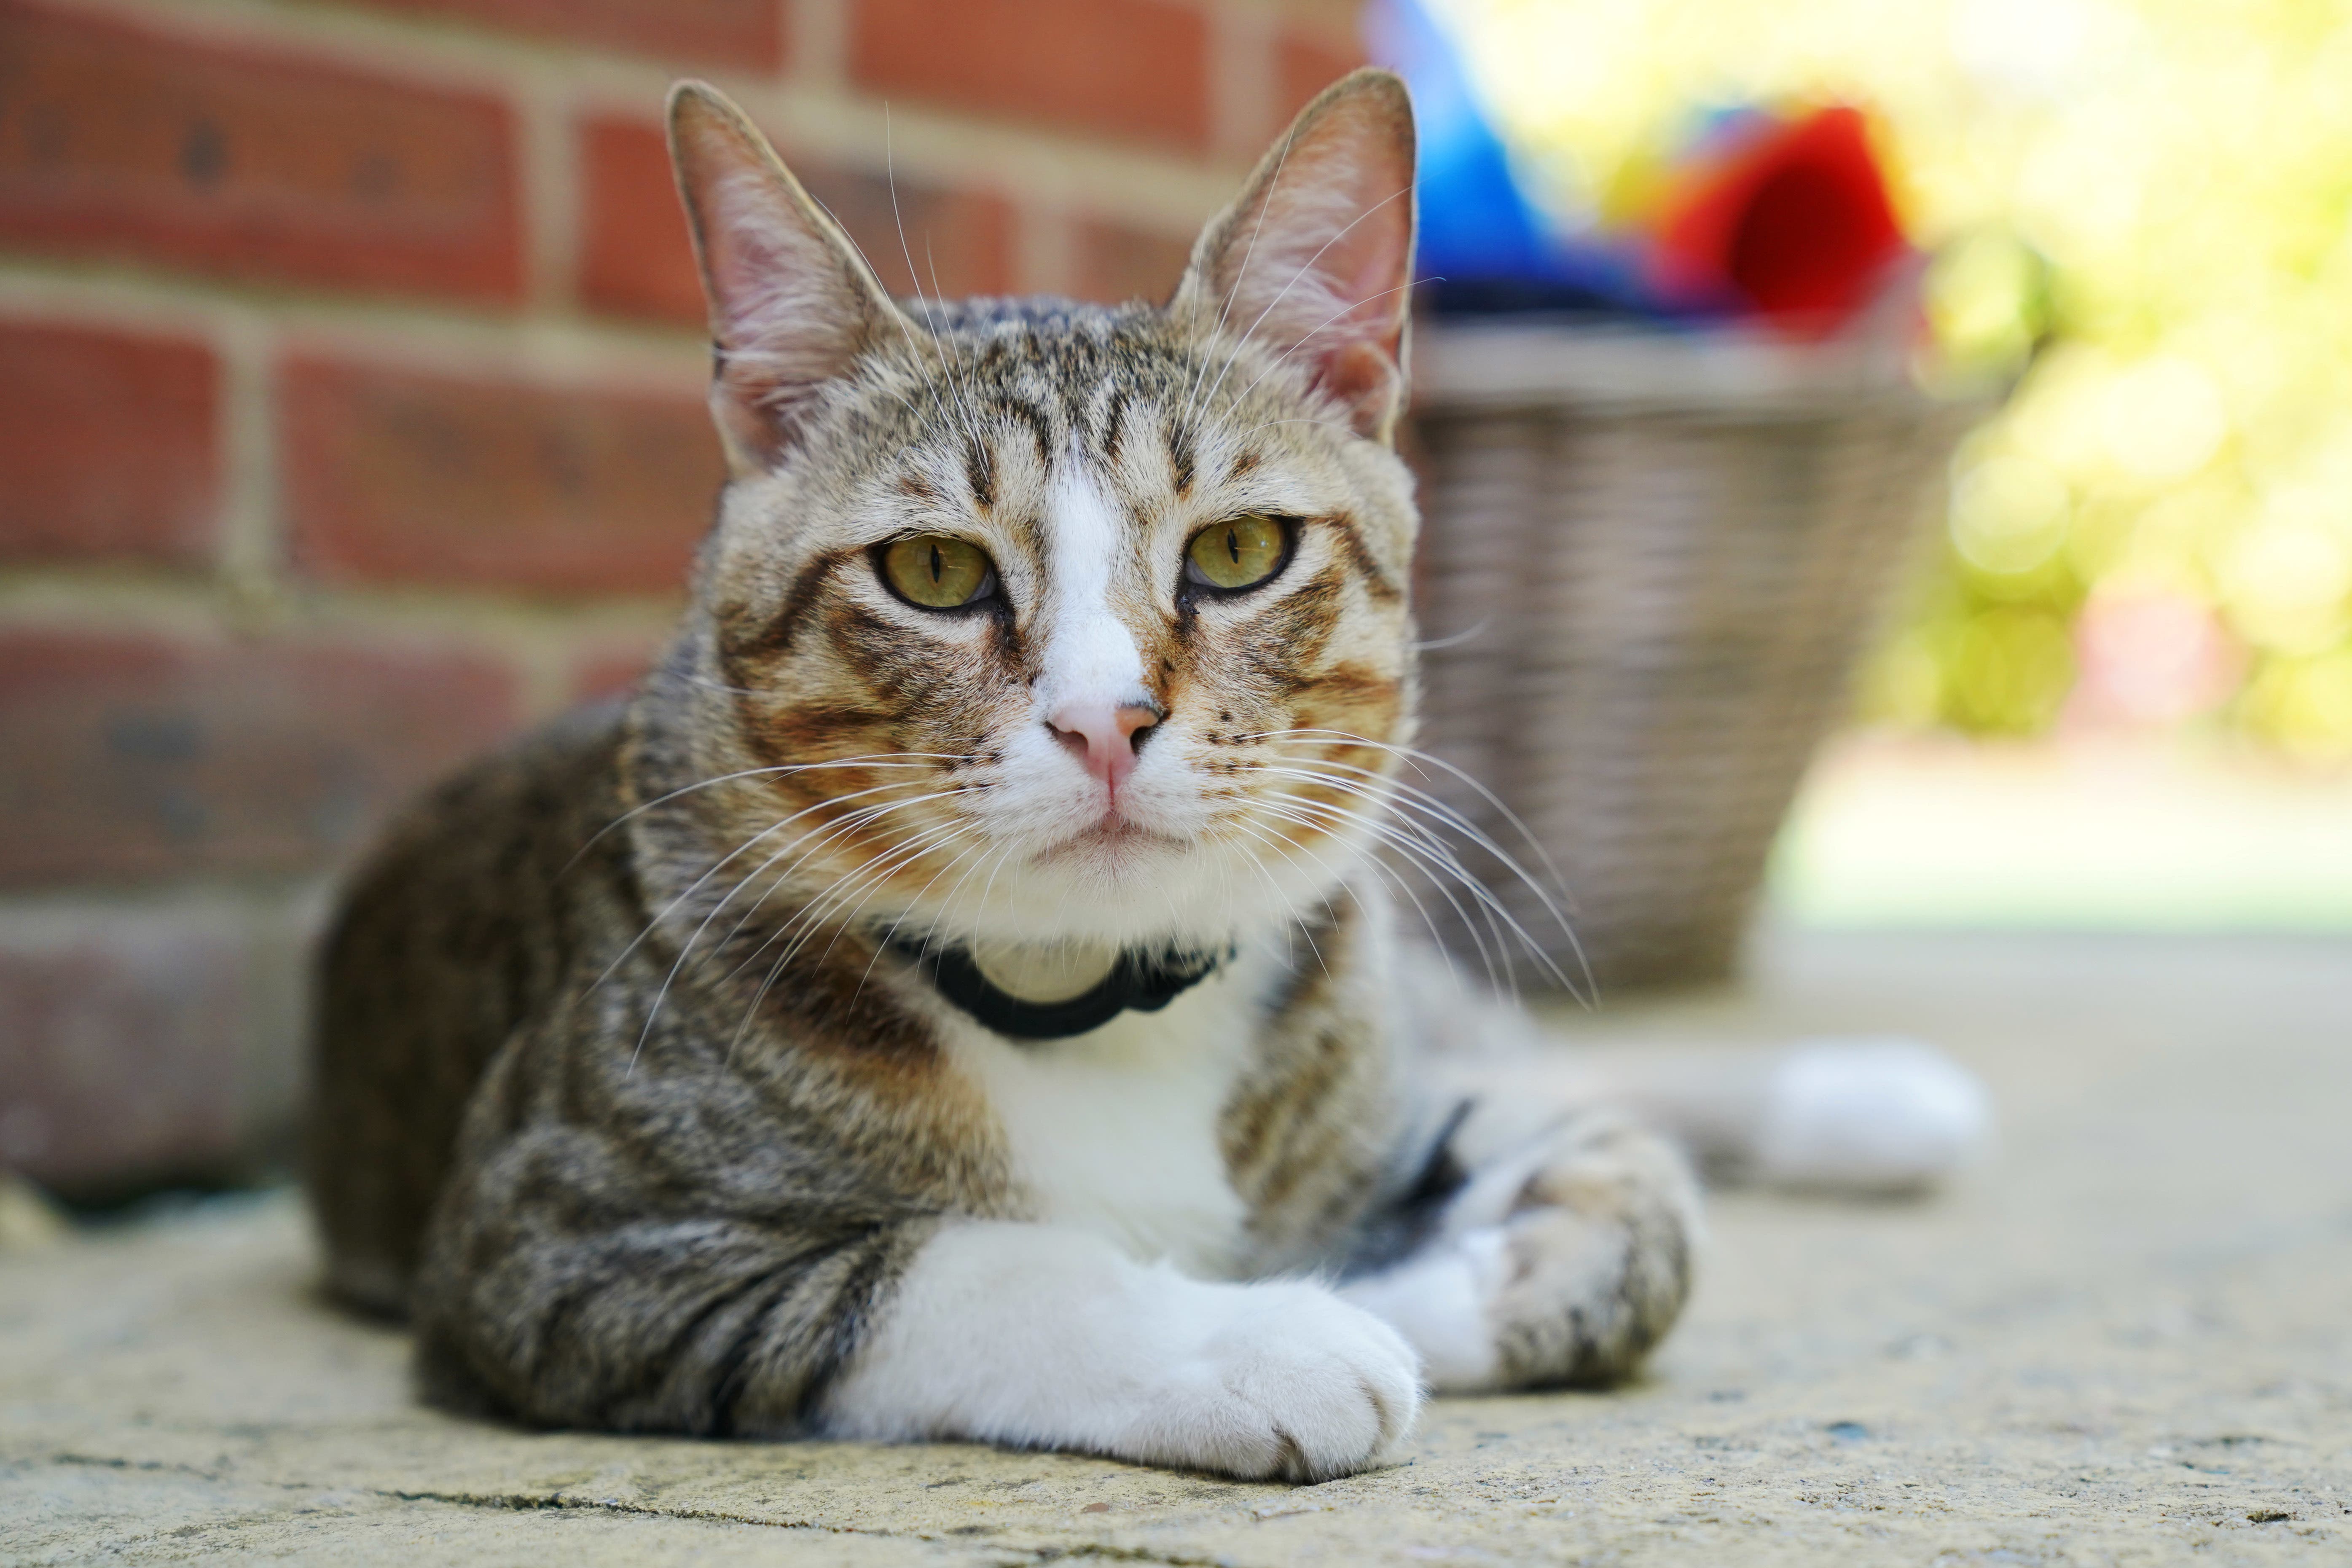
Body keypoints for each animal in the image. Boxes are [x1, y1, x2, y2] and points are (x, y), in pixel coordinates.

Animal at [298, 64, 1985, 1485]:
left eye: (1237, 552)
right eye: (932, 571)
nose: (1106, 721)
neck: (1083, 1000)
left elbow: (1636, 1206)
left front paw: (1421, 1285)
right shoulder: (554, 1236)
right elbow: (950, 1263)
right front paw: (1267, 1330)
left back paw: (1870, 1097)